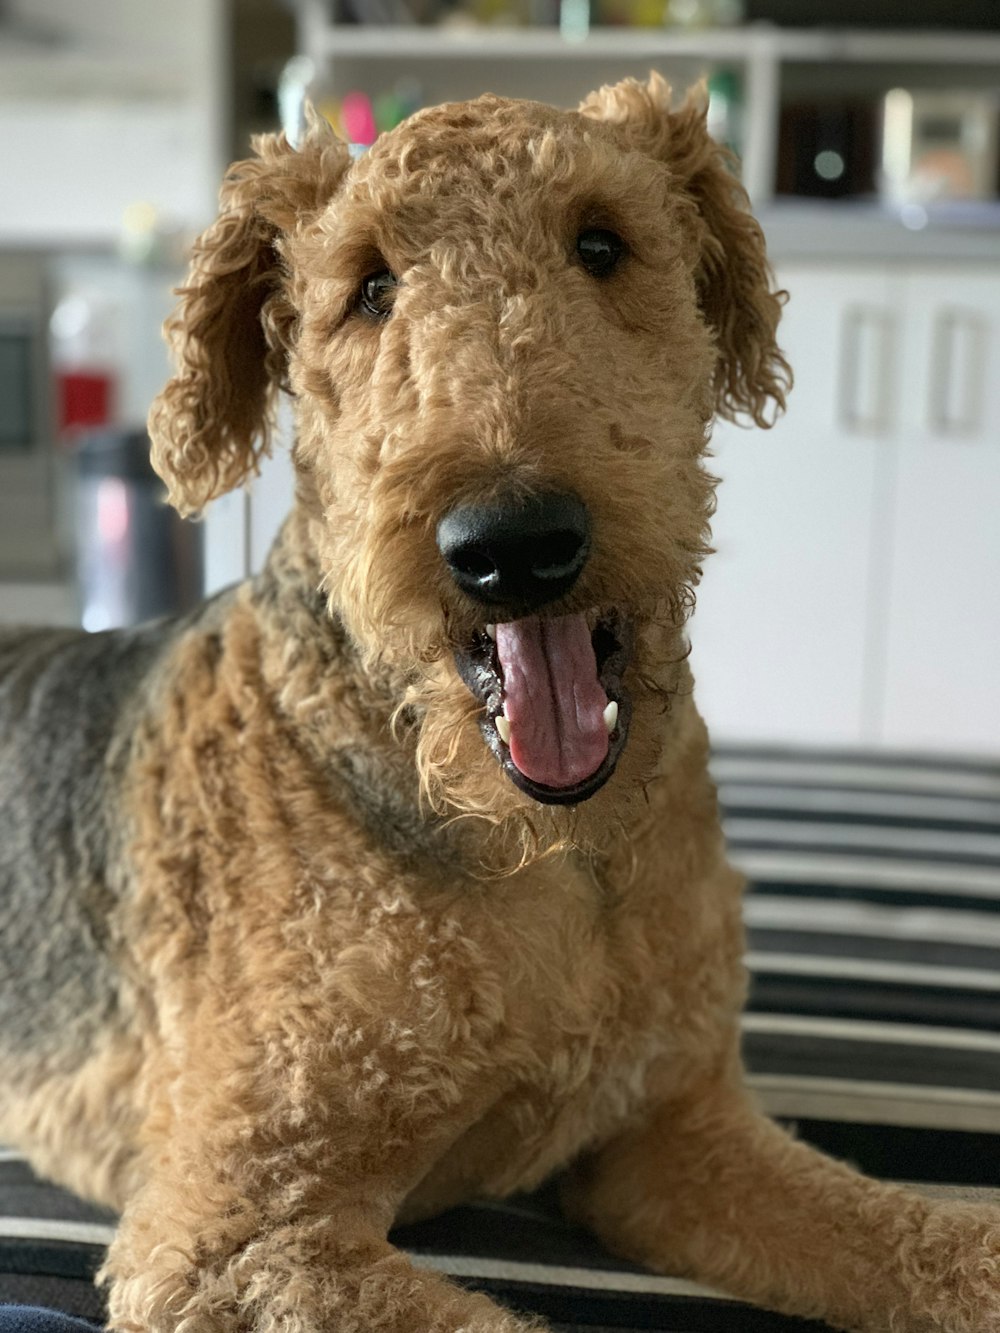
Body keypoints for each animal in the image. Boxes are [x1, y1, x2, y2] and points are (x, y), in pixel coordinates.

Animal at [1, 75, 1000, 1333]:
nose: (513, 544)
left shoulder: (672, 1133)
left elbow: (925, 1237)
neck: (541, 851)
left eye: (601, 243)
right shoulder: (232, 1233)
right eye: (369, 284)